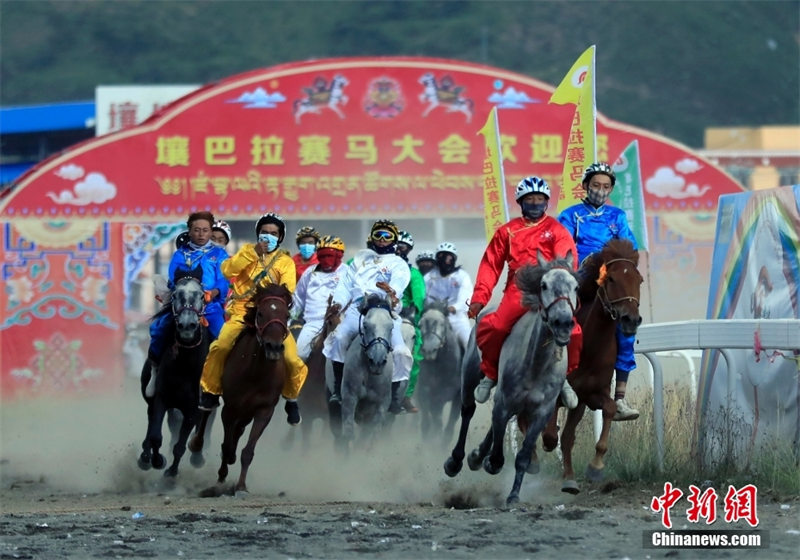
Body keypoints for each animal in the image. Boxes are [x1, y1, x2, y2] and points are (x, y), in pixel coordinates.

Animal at [139, 266, 211, 476]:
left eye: (202, 295)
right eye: (175, 295)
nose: (187, 325)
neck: (185, 365)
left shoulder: (193, 408)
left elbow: (180, 445)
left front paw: (170, 474)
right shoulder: (162, 398)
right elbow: (156, 436)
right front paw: (156, 460)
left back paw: (197, 457)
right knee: (151, 421)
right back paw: (145, 456)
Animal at [195, 284, 294, 494]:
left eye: (286, 314)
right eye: (261, 314)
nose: (273, 347)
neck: (255, 372)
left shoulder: (264, 410)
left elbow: (248, 450)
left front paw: (241, 486)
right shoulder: (230, 408)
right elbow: (226, 444)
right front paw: (222, 477)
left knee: (239, 430)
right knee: (207, 411)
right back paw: (197, 444)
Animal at [412, 298, 462, 446]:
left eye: (442, 323)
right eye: (421, 324)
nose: (429, 349)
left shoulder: (456, 395)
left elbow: (449, 421)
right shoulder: (424, 392)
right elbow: (429, 421)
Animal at [440, 252, 580, 506]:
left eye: (576, 286)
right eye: (544, 285)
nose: (563, 323)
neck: (536, 364)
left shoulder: (541, 411)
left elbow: (523, 455)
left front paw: (514, 495)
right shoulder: (504, 401)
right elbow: (497, 455)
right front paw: (488, 462)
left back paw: (477, 456)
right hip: (470, 376)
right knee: (468, 411)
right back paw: (457, 461)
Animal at [536, 238, 644, 492]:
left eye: (639, 280)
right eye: (611, 278)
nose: (631, 319)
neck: (589, 347)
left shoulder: (590, 394)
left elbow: (609, 409)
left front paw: (595, 467)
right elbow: (549, 433)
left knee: (567, 436)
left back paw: (569, 479)